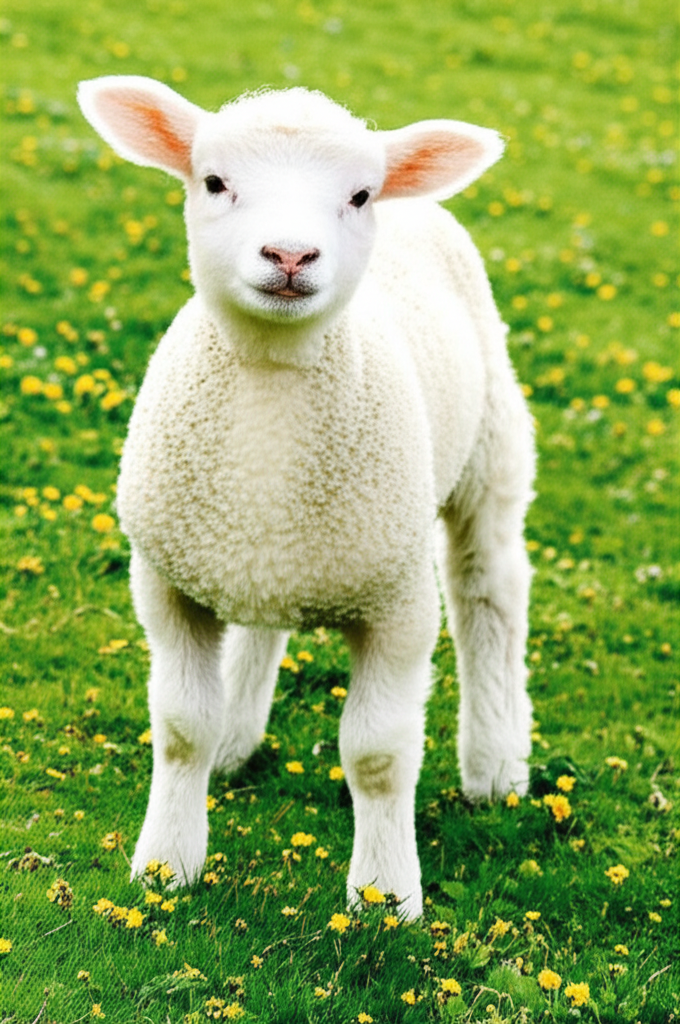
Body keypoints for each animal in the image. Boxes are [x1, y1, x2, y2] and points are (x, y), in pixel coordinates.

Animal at [77, 76, 536, 920]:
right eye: (214, 181)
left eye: (359, 195)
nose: (290, 255)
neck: (273, 367)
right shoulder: (168, 584)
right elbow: (181, 728)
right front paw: (166, 866)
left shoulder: (398, 607)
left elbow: (379, 755)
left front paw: (385, 898)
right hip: (265, 559)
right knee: (264, 626)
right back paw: (237, 735)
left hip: (491, 448)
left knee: (489, 592)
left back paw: (494, 764)